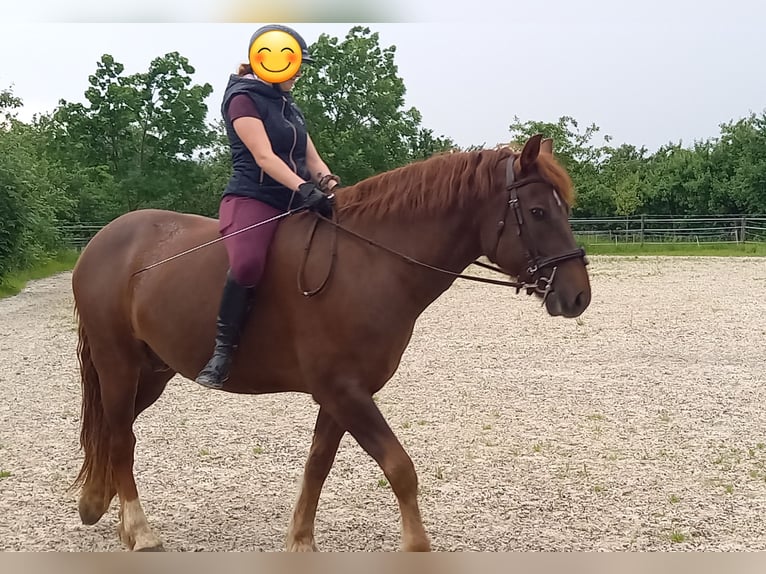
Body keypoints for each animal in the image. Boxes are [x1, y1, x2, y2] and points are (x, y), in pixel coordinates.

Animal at [69, 135, 592, 552]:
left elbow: (318, 464)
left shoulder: (342, 394)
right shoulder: (345, 391)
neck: (371, 263)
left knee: (113, 431)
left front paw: (300, 541)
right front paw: (417, 547)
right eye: (539, 211)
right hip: (118, 363)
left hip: (153, 370)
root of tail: (103, 240)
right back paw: (139, 531)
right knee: (120, 436)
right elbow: (399, 467)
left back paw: (97, 503)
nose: (578, 295)